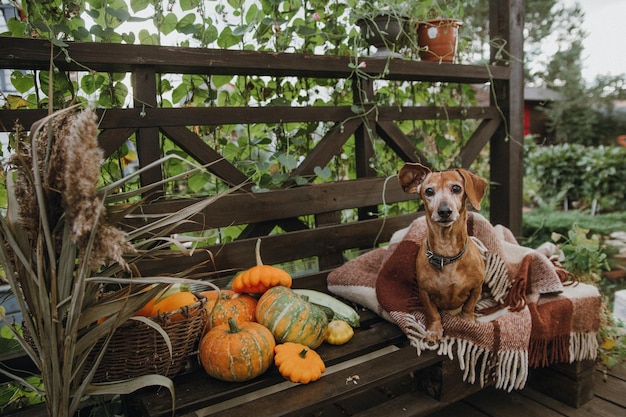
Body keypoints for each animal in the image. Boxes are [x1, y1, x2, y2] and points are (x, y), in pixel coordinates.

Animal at [400, 162, 488, 342]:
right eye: (429, 191)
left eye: (456, 188)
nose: (444, 211)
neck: (447, 253)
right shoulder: (424, 292)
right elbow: (432, 312)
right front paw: (434, 330)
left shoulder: (477, 287)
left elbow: (468, 306)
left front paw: (468, 321)